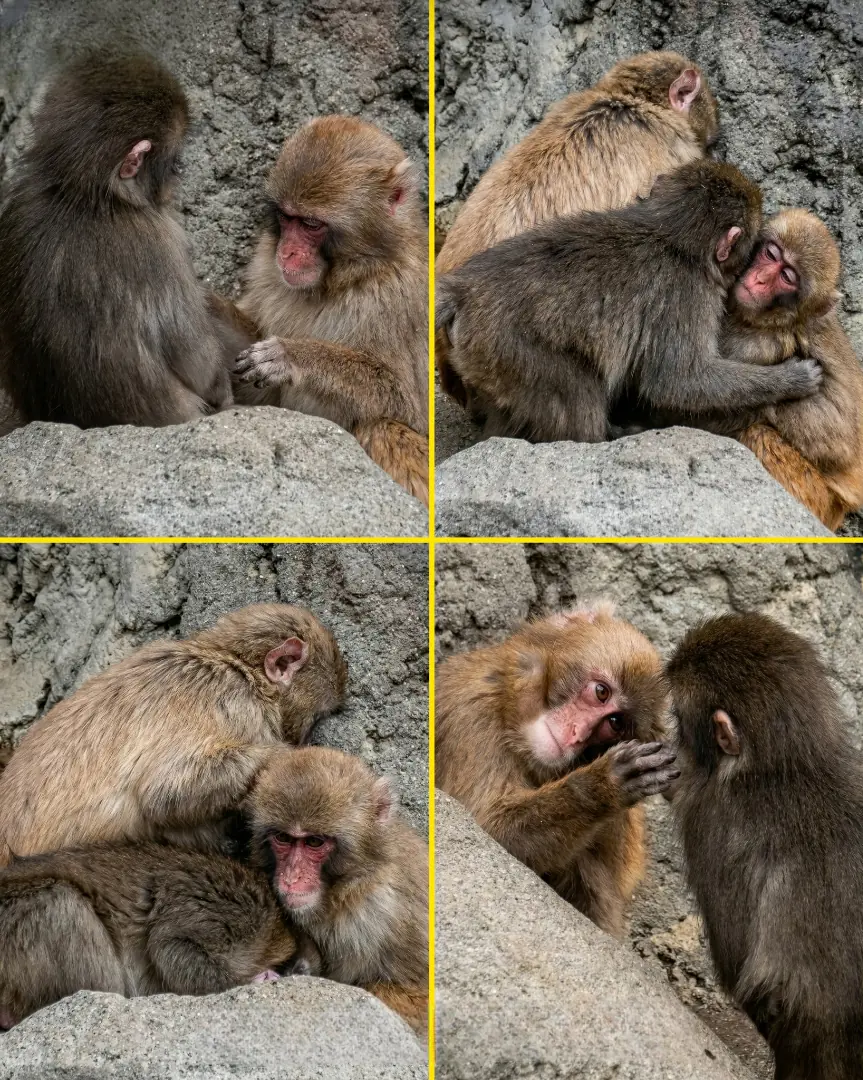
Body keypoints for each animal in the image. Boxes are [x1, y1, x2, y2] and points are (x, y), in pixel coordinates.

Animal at [0, 51, 234, 429]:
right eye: (174, 161)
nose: (179, 175)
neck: (85, 197)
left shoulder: (17, 207)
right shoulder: (161, 241)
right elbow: (195, 358)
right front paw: (219, 382)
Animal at [0, 604, 347, 865]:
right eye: (316, 719)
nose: (304, 736)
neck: (235, 665)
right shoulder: (236, 705)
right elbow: (165, 794)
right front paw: (287, 755)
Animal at [231, 116, 429, 505]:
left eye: (311, 225)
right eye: (286, 218)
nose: (287, 253)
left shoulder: (399, 297)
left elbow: (406, 403)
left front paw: (291, 356)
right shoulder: (263, 264)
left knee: (383, 427)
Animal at [435, 603, 678, 936]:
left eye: (615, 723)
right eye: (601, 692)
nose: (577, 734)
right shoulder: (471, 711)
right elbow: (487, 827)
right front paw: (601, 786)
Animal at [436, 160, 824, 444]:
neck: (671, 232)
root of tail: (463, 289)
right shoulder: (687, 295)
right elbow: (680, 381)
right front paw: (791, 379)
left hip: (486, 358)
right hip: (512, 348)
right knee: (576, 390)